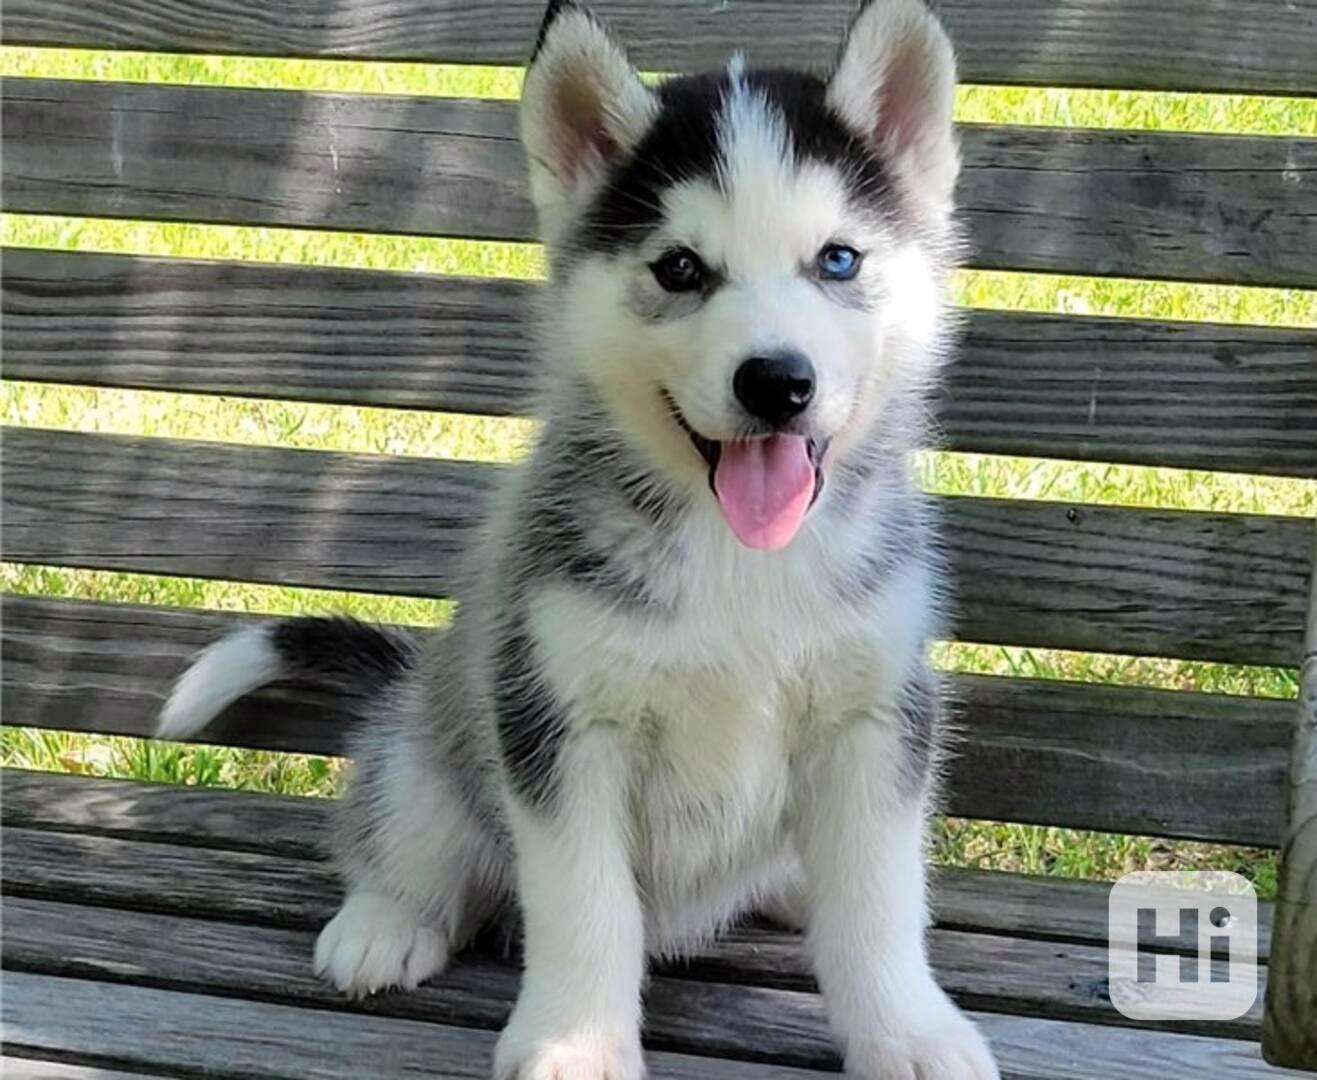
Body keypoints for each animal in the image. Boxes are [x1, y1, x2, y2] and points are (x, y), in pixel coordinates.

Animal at [156, 2, 995, 1069]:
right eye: (679, 268)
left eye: (837, 259)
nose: (776, 382)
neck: (740, 560)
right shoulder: (555, 722)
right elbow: (584, 906)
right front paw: (577, 1045)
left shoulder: (875, 718)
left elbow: (879, 904)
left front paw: (905, 1031)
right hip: (435, 754)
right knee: (405, 833)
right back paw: (386, 919)